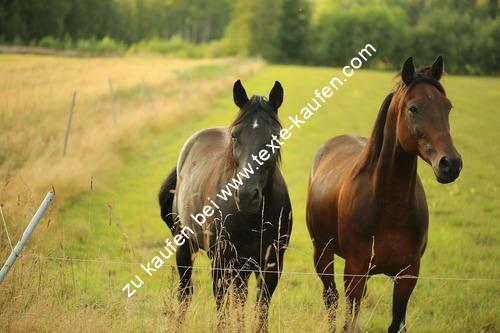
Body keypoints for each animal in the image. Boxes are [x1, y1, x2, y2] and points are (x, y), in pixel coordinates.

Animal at [160, 80, 292, 330]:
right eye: (235, 136)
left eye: (275, 136)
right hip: (185, 245)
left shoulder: (272, 266)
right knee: (185, 292)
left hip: (242, 267)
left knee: (239, 298)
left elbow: (260, 310)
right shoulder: (220, 263)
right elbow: (222, 309)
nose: (247, 196)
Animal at [306, 55, 462, 330]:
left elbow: (396, 323)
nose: (450, 164)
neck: (391, 206)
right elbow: (349, 322)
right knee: (331, 299)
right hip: (322, 252)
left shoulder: (407, 276)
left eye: (448, 107)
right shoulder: (355, 272)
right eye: (413, 108)